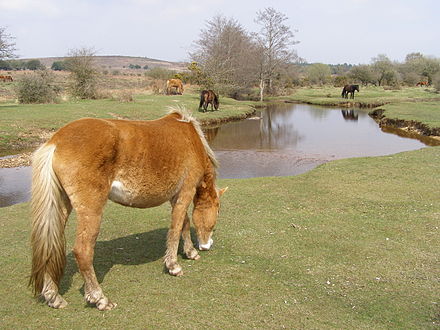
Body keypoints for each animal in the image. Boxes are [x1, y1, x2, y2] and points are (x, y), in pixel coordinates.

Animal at [28, 107, 227, 310]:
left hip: (61, 206)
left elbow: (184, 224)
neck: (192, 139)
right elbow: (176, 228)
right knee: (83, 251)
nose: (207, 245)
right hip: (91, 210)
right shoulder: (186, 192)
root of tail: (55, 141)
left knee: (50, 247)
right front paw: (174, 265)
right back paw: (100, 298)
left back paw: (54, 297)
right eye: (218, 211)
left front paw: (190, 252)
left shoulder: (176, 197)